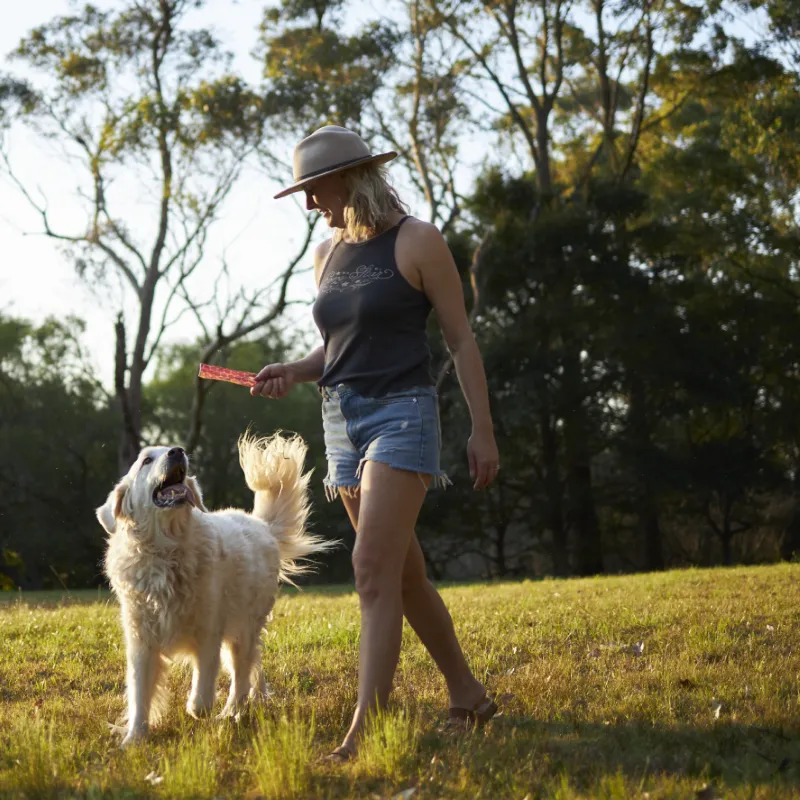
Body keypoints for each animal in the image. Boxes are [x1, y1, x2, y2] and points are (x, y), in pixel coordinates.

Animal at [95, 428, 332, 748]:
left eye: (167, 451)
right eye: (146, 460)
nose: (177, 451)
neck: (166, 550)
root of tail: (261, 525)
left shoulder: (209, 632)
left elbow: (202, 690)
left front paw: (198, 710)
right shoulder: (141, 640)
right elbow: (139, 693)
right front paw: (134, 738)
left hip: (243, 628)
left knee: (242, 675)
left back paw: (231, 712)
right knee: (253, 668)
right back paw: (254, 701)